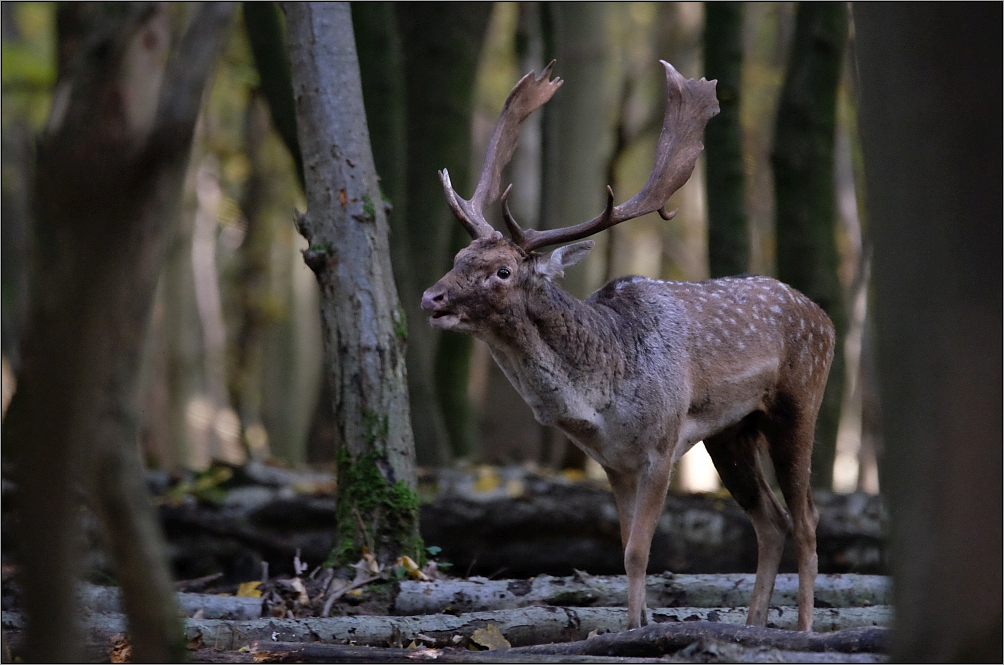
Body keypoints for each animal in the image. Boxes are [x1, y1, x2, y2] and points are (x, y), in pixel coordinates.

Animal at [419, 60, 835, 634]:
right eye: (460, 257)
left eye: (502, 271)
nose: (430, 297)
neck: (602, 396)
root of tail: (826, 319)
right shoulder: (612, 461)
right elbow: (622, 550)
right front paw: (634, 626)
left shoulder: (662, 444)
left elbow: (640, 550)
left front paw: (638, 629)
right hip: (730, 433)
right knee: (771, 520)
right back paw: (752, 624)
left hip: (799, 402)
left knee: (807, 517)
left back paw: (802, 629)